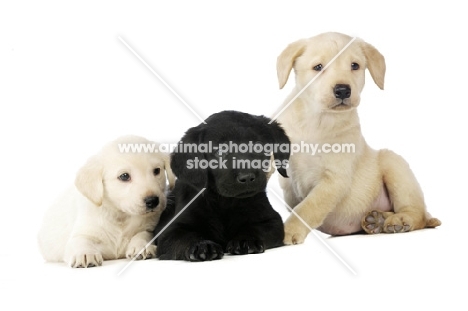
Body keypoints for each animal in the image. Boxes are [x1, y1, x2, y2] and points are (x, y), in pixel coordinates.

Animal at [37, 135, 176, 266]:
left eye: (157, 170)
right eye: (124, 176)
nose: (153, 201)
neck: (120, 216)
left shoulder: (149, 227)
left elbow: (143, 234)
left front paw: (142, 246)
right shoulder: (81, 232)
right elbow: (81, 240)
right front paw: (85, 254)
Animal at [155, 111, 290, 262]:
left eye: (258, 146)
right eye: (220, 151)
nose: (247, 177)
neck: (226, 203)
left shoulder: (272, 220)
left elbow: (256, 228)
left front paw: (246, 240)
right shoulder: (170, 231)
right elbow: (186, 237)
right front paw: (202, 245)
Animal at [272, 32, 440, 246]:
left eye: (355, 65)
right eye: (318, 67)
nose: (343, 90)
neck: (317, 121)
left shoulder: (334, 179)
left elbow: (308, 208)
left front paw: (289, 230)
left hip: (394, 162)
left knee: (418, 214)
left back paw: (400, 220)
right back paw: (377, 220)